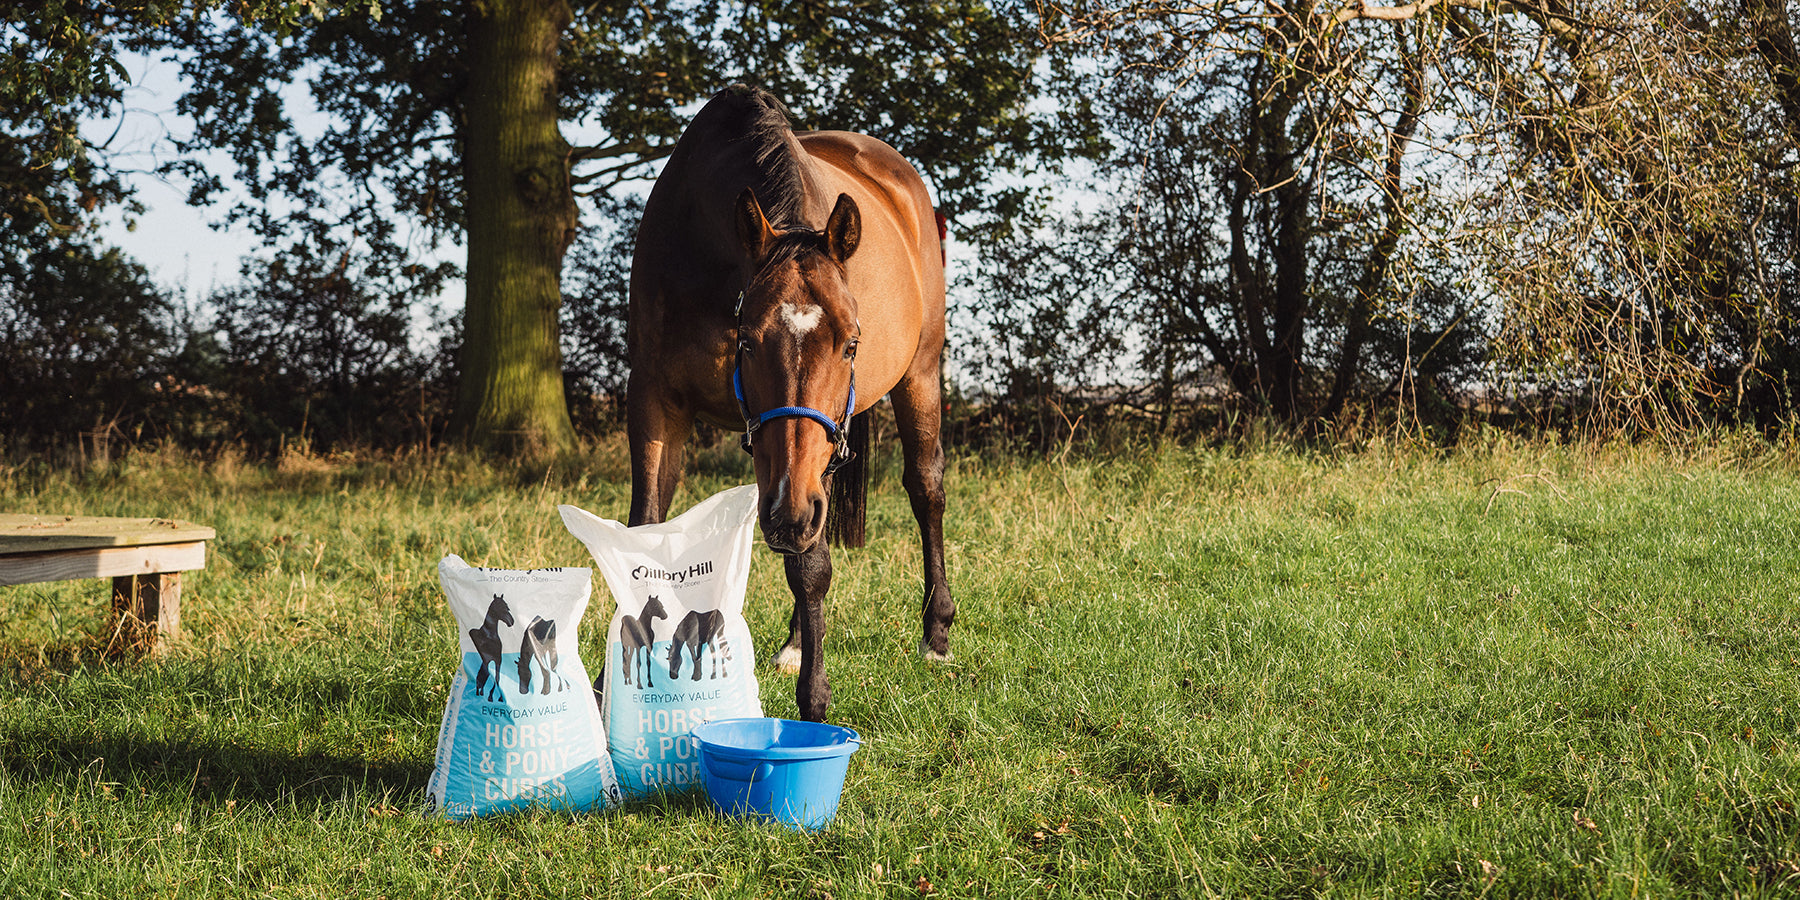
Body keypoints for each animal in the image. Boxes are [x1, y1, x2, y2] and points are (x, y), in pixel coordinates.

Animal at [622, 85, 950, 723]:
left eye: (851, 342)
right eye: (747, 340)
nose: (792, 513)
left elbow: (812, 565)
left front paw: (814, 699)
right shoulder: (655, 402)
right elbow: (643, 531)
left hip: (919, 377)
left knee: (925, 489)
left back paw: (937, 633)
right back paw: (798, 641)